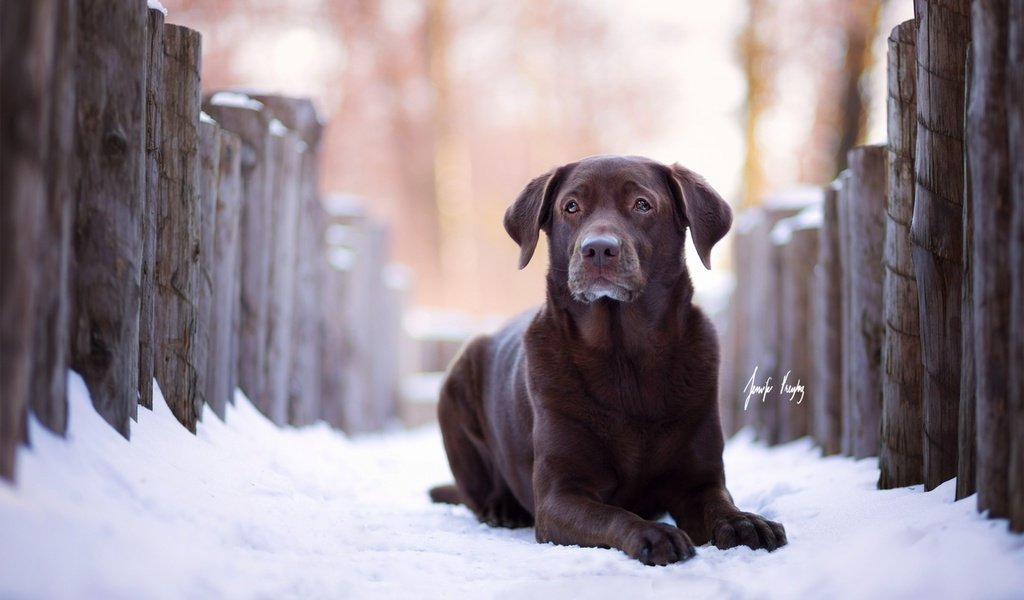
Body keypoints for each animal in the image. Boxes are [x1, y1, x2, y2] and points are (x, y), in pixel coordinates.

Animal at [428, 155, 786, 565]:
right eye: (571, 207)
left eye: (642, 204)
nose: (598, 249)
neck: (623, 355)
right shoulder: (559, 495)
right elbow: (613, 513)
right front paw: (654, 533)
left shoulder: (700, 480)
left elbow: (719, 504)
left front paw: (746, 522)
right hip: (456, 384)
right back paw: (502, 506)